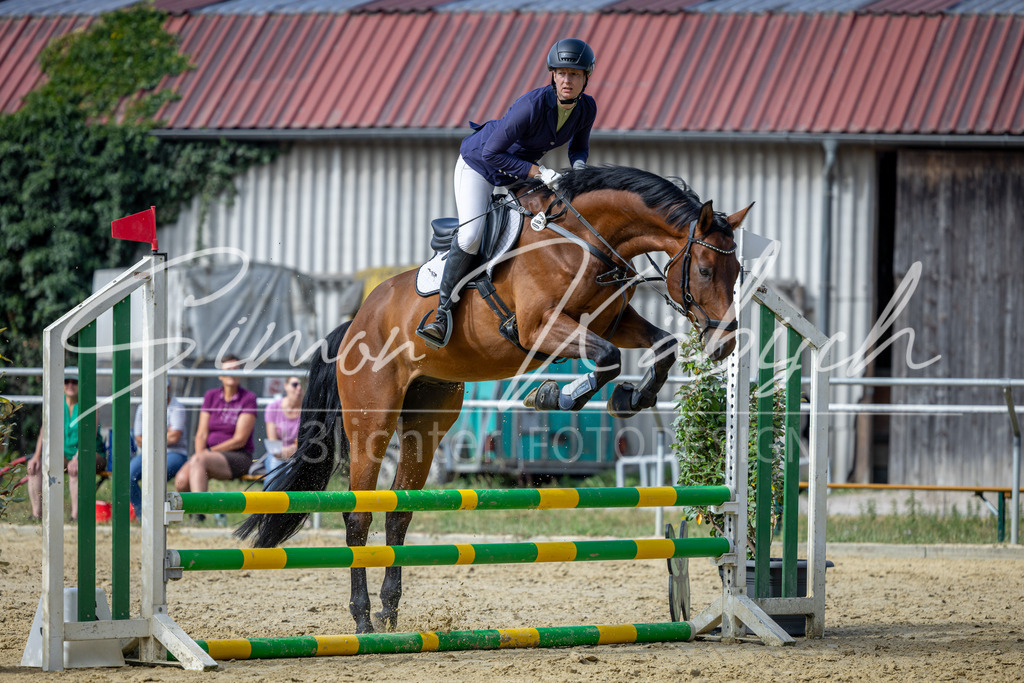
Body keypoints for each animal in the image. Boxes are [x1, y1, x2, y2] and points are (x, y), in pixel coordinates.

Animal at [236, 165, 750, 634]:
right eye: (705, 270)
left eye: (739, 272)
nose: (725, 344)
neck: (584, 241)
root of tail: (354, 325)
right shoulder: (540, 328)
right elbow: (607, 358)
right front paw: (553, 396)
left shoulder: (613, 321)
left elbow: (661, 347)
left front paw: (630, 399)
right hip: (372, 421)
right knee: (358, 514)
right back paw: (362, 618)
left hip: (426, 420)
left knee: (399, 511)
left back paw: (389, 613)